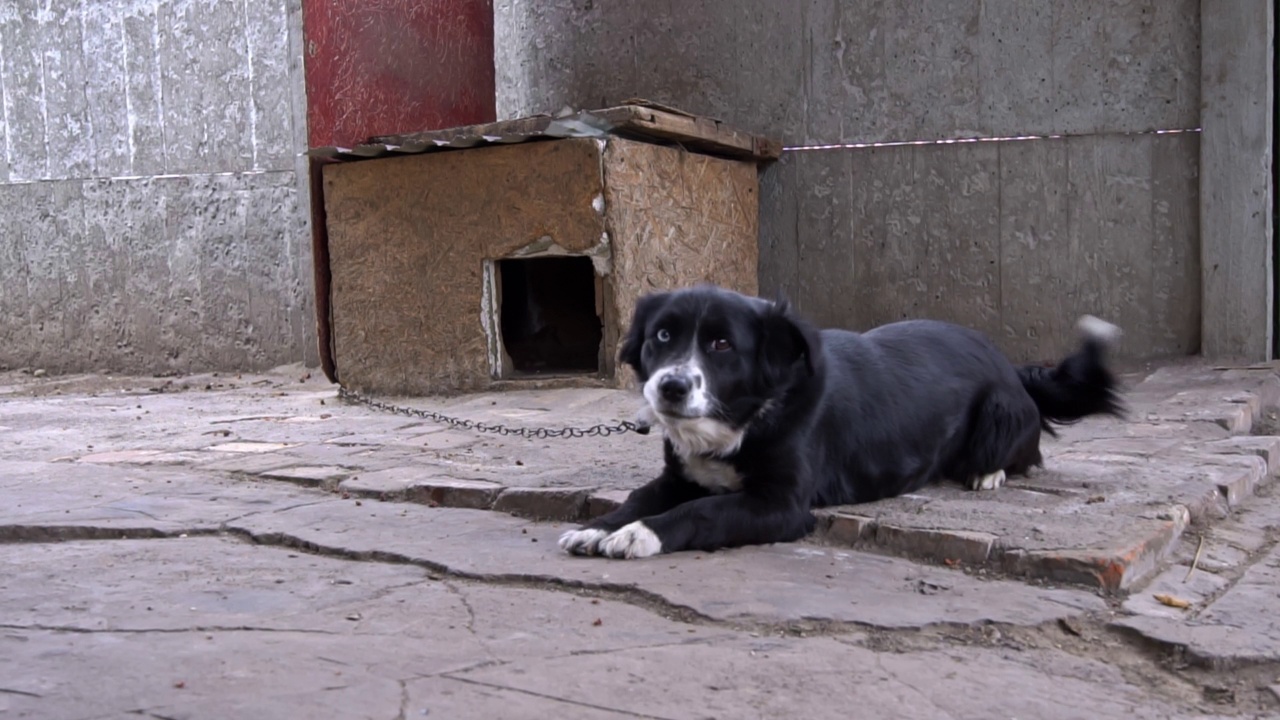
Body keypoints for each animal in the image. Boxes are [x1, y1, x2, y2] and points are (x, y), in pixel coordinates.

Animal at [560, 283, 1121, 558]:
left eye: (722, 344)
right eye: (661, 336)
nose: (670, 388)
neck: (746, 418)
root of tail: (1010, 367)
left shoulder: (781, 506)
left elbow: (700, 512)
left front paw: (638, 536)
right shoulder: (679, 476)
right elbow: (640, 497)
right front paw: (599, 527)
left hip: (1000, 413)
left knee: (1024, 454)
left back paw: (988, 472)